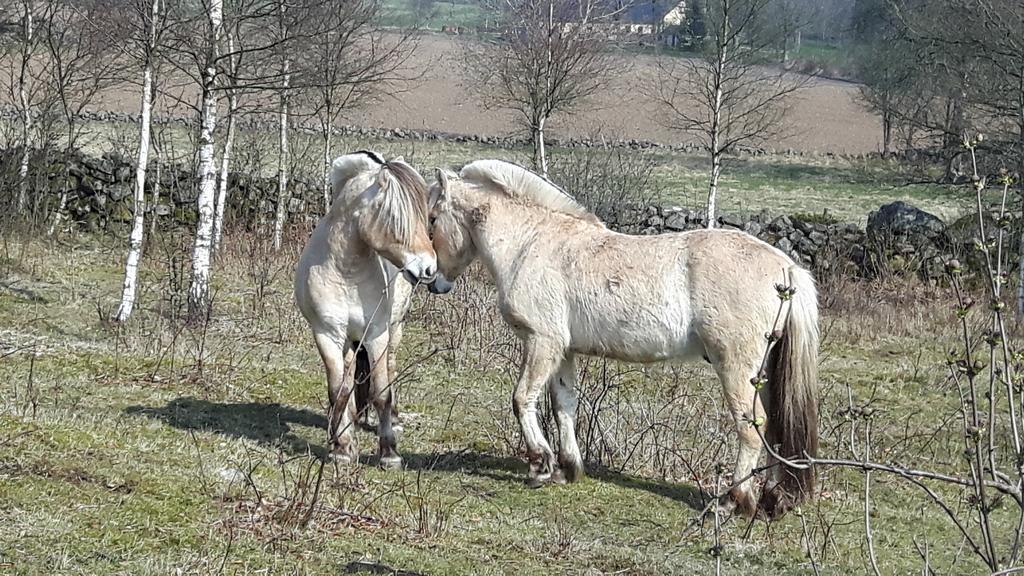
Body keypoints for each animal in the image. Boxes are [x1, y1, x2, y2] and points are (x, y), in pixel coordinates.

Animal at [296, 151, 440, 467]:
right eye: (395, 219)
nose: (429, 269)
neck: (346, 271)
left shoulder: (377, 336)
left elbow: (381, 392)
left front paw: (389, 453)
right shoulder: (326, 335)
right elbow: (338, 391)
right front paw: (341, 447)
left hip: (394, 331)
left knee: (391, 368)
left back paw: (393, 421)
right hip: (349, 340)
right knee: (349, 378)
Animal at [428, 157, 819, 516]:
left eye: (432, 219)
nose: (432, 280)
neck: (532, 242)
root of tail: (787, 268)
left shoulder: (542, 342)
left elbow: (523, 399)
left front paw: (540, 465)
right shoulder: (564, 351)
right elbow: (564, 407)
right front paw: (567, 469)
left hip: (736, 368)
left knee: (752, 428)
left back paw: (731, 502)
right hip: (763, 372)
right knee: (774, 428)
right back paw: (771, 501)